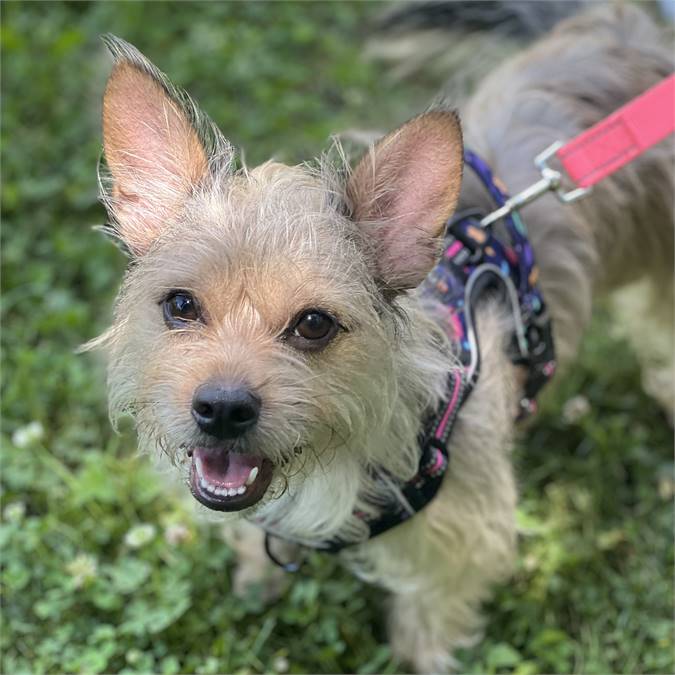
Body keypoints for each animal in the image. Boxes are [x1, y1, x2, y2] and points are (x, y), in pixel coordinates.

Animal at [91, 3, 675, 672]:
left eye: (314, 324)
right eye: (181, 305)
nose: (222, 409)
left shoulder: (459, 544)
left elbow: (428, 622)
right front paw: (254, 584)